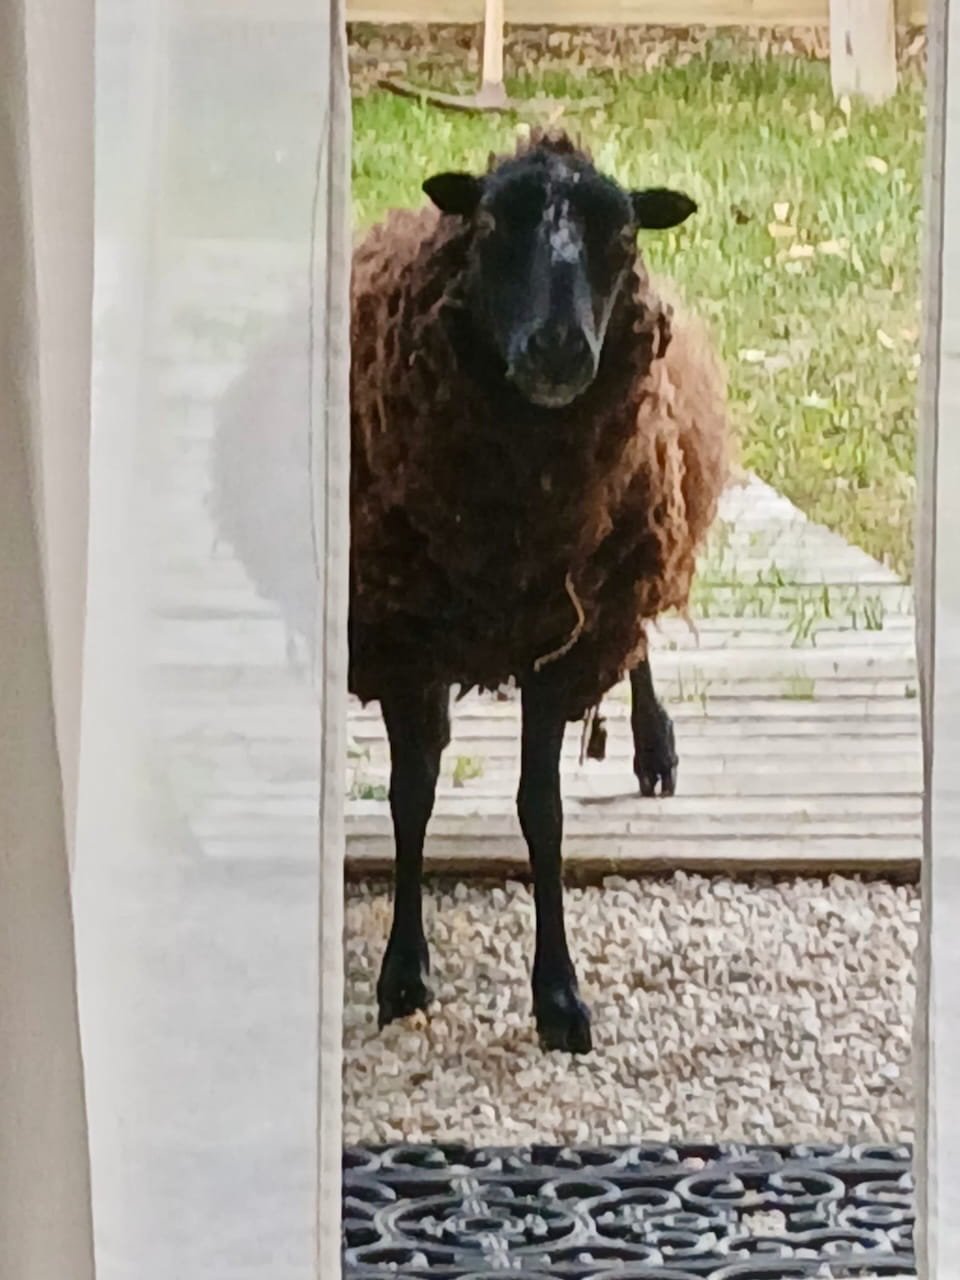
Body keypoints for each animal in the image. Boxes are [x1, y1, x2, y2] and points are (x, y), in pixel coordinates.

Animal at [351, 129, 730, 1054]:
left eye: (624, 238)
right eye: (490, 226)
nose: (558, 350)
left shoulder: (565, 642)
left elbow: (542, 810)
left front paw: (558, 996)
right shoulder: (405, 638)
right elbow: (411, 795)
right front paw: (403, 973)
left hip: (626, 573)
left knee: (638, 652)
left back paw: (654, 745)